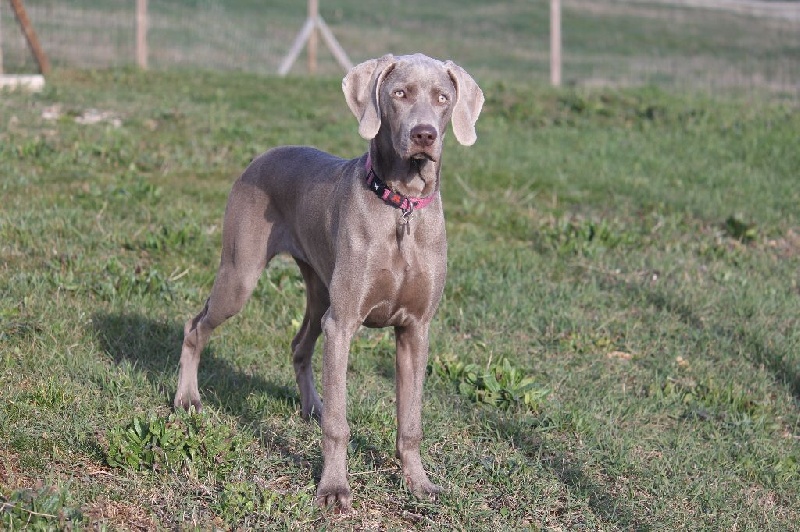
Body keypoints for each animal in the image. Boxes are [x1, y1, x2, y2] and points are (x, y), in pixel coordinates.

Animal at [174, 53, 484, 509]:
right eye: (400, 93)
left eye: (443, 98)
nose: (424, 134)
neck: (401, 207)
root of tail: (261, 156)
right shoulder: (343, 325)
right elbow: (340, 423)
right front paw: (334, 488)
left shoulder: (416, 329)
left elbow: (410, 422)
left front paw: (419, 483)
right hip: (240, 274)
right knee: (196, 326)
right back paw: (186, 398)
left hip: (319, 289)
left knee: (299, 345)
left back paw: (312, 407)